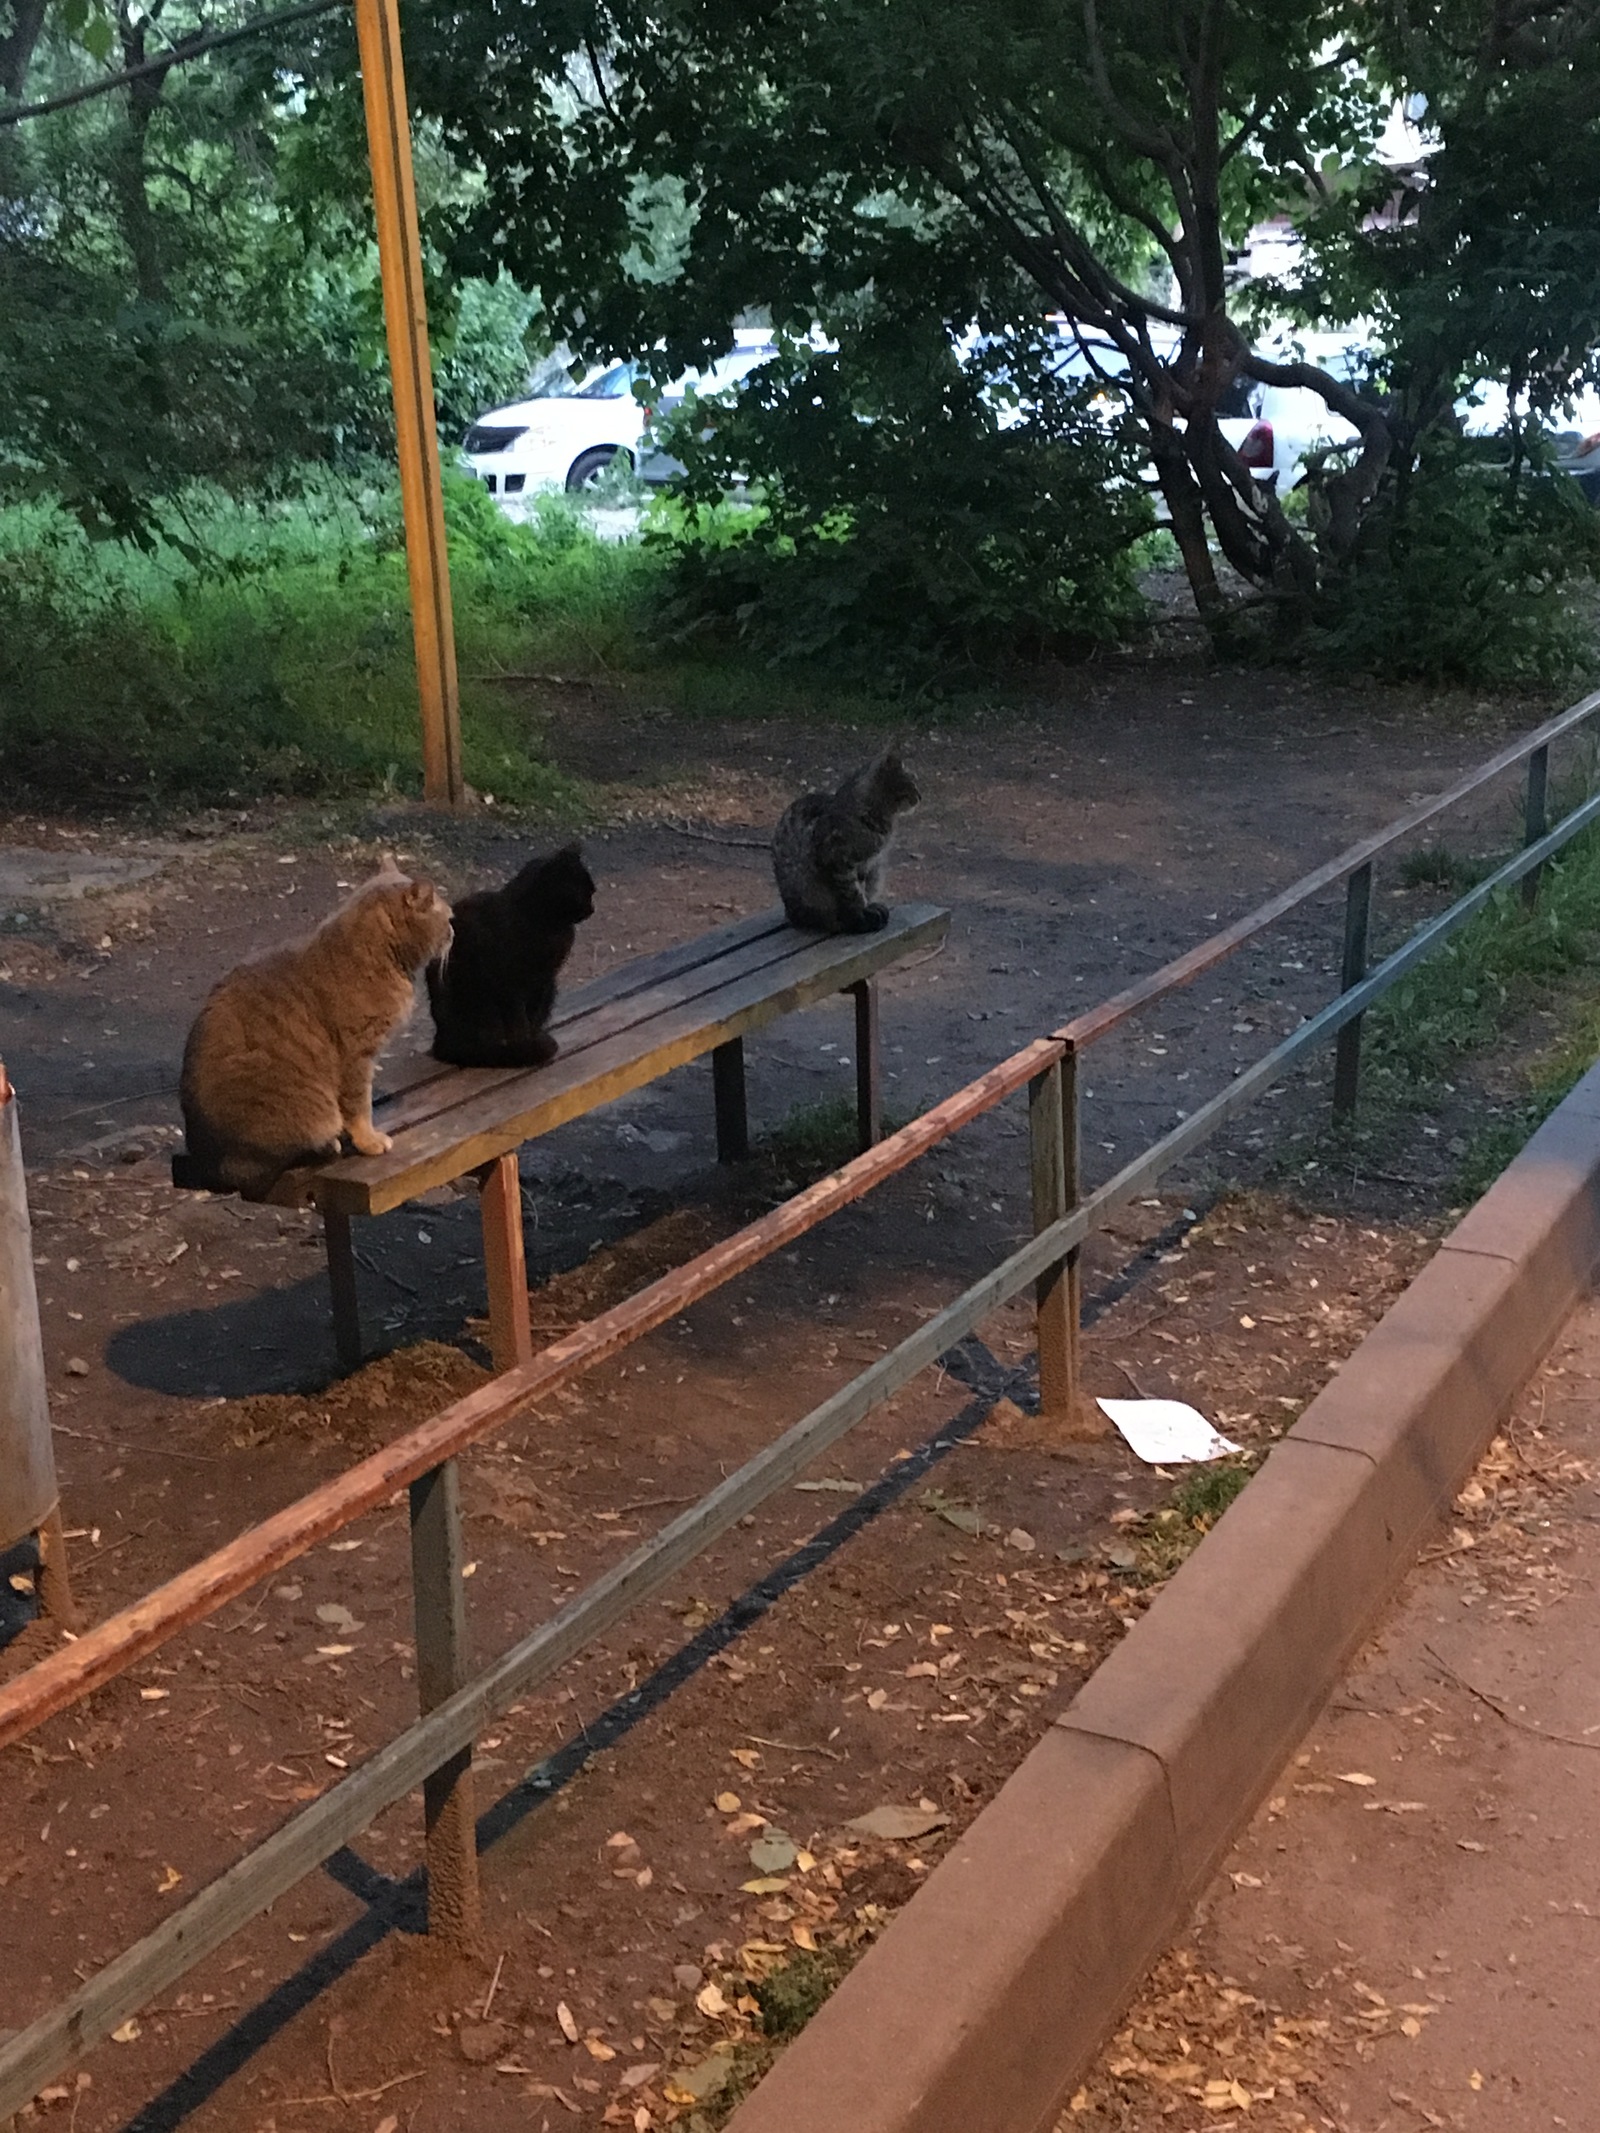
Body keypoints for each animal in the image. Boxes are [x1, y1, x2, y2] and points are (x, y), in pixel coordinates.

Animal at [174, 865, 452, 1203]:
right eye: (448, 919)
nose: (454, 932)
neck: (379, 954)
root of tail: (207, 1162)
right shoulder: (358, 1056)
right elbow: (359, 1107)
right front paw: (369, 1141)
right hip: (306, 1111)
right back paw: (327, 1146)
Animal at [428, 836, 597, 1062]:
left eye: (592, 891)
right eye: (583, 893)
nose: (592, 909)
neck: (551, 928)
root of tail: (441, 1042)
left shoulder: (545, 979)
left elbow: (534, 1015)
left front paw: (532, 1040)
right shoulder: (511, 980)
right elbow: (518, 1017)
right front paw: (524, 1045)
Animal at [772, 750, 921, 934]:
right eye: (912, 782)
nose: (920, 796)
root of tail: (790, 914)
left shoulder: (868, 864)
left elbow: (863, 889)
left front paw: (867, 909)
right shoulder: (838, 861)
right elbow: (853, 894)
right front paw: (859, 917)